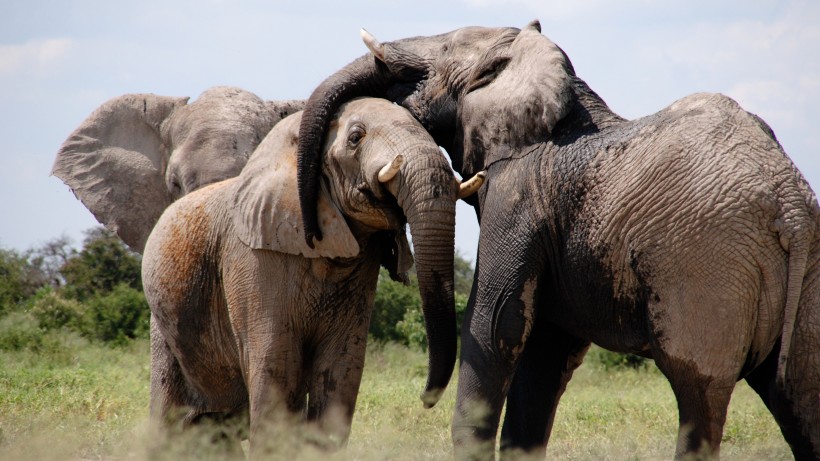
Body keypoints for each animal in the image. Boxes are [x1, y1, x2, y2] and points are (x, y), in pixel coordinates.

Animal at [143, 97, 480, 452]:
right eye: (356, 137)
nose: (425, 400)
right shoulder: (252, 259)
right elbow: (276, 365)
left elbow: (341, 367)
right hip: (163, 326)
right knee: (169, 418)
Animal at [294, 20, 820, 456]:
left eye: (442, 49)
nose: (425, 399)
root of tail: (789, 204)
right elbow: (545, 350)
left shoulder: (518, 192)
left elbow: (495, 323)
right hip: (806, 273)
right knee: (798, 399)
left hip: (707, 267)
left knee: (698, 398)